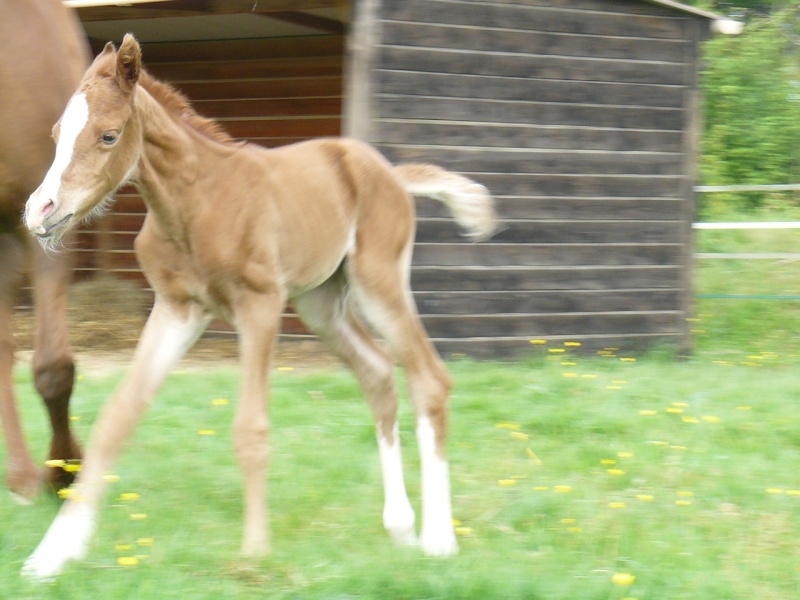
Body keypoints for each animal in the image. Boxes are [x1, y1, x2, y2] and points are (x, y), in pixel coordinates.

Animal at [21, 35, 494, 580]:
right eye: (56, 133)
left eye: (107, 135)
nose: (40, 211)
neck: (196, 202)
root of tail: (391, 173)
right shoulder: (177, 309)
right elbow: (116, 420)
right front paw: (53, 553)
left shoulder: (260, 304)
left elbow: (251, 429)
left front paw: (253, 553)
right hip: (321, 304)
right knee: (377, 374)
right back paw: (400, 526)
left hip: (378, 285)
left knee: (429, 379)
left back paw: (438, 539)